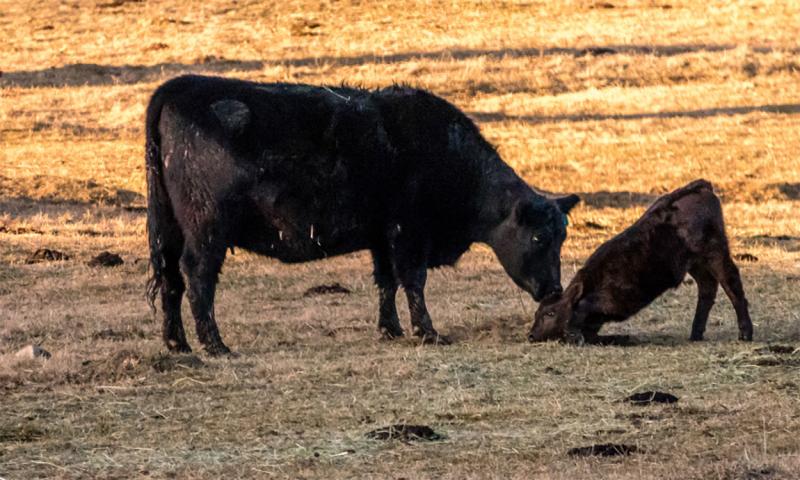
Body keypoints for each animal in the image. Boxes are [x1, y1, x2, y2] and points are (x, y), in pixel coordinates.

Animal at [145, 75, 580, 355]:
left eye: (562, 236)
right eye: (539, 237)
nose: (554, 289)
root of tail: (180, 86)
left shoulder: (381, 236)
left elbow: (386, 282)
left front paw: (391, 329)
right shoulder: (408, 233)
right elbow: (413, 281)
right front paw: (428, 332)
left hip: (170, 230)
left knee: (170, 279)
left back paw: (178, 343)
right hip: (206, 229)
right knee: (198, 277)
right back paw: (215, 344)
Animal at [528, 179, 753, 345]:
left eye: (550, 313)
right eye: (537, 313)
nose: (530, 335)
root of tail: (700, 187)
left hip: (715, 252)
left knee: (732, 285)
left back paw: (745, 333)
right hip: (696, 264)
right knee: (707, 289)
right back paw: (695, 334)